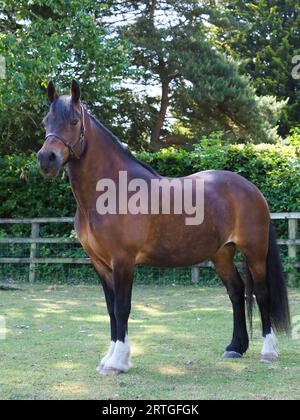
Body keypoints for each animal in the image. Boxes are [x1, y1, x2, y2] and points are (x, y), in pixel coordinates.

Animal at [36, 80, 290, 376]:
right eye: (46, 121)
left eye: (74, 121)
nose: (47, 158)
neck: (111, 190)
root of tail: (252, 189)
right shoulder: (99, 263)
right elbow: (110, 310)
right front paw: (109, 358)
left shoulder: (123, 261)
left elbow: (122, 308)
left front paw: (118, 362)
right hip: (222, 253)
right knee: (236, 292)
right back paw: (235, 347)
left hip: (254, 251)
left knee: (261, 293)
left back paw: (268, 350)